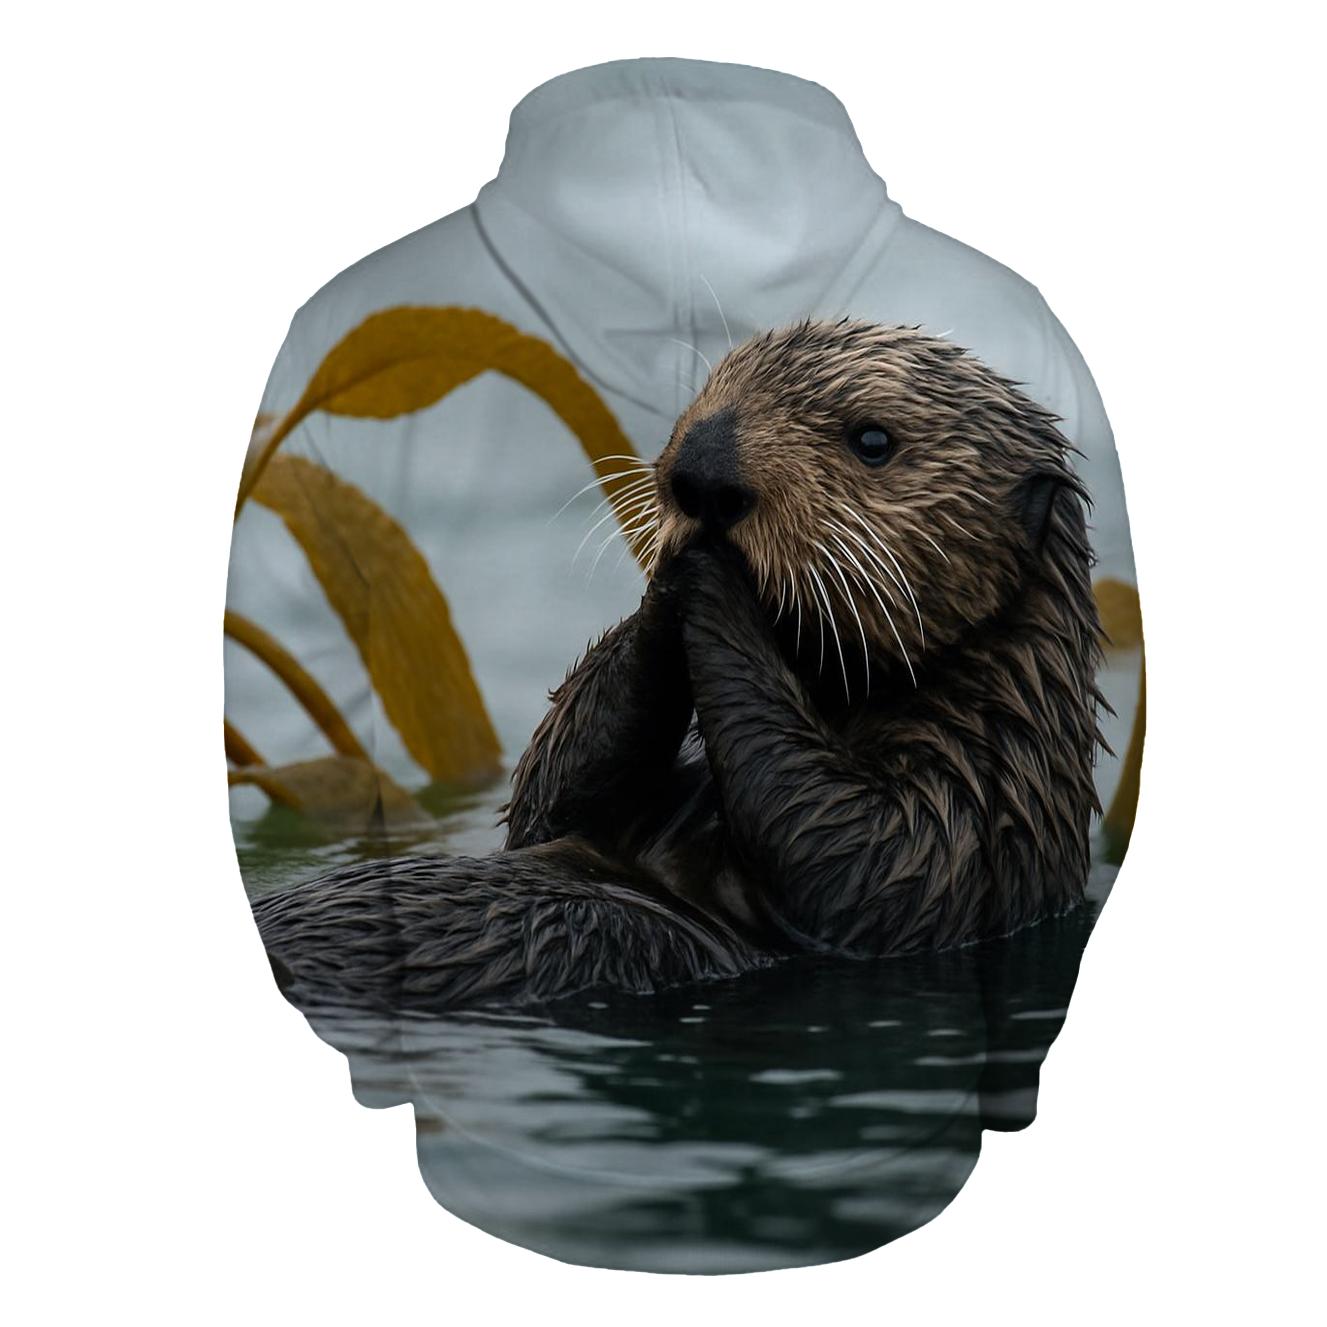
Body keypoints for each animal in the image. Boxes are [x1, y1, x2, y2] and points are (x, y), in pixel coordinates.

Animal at [253, 320, 1104, 1011]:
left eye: (872, 441)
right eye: (707, 391)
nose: (702, 469)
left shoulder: (973, 817)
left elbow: (857, 856)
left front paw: (715, 578)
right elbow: (548, 797)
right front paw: (670, 576)